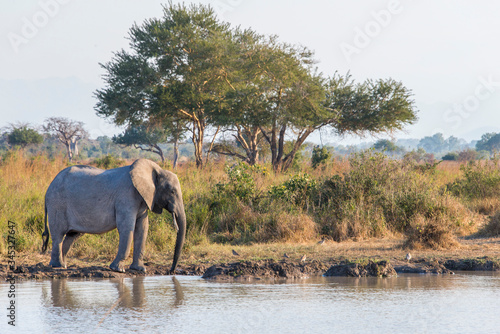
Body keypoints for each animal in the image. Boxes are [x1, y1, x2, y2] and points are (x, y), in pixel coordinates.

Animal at [41, 159, 186, 274]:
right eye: (172, 191)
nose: (171, 271)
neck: (156, 170)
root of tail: (48, 189)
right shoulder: (126, 196)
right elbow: (127, 228)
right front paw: (118, 269)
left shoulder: (143, 199)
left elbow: (142, 229)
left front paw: (139, 269)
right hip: (57, 204)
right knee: (58, 235)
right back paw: (58, 266)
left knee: (72, 236)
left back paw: (64, 265)